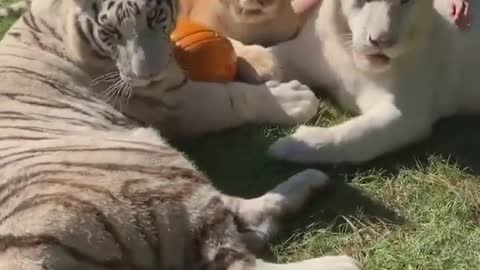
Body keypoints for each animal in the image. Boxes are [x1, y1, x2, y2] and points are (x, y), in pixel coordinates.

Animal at [0, 0, 360, 270]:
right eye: (110, 32)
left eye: (153, 17)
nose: (148, 74)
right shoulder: (172, 99)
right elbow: (230, 98)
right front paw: (295, 99)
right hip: (141, 166)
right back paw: (343, 263)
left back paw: (312, 181)